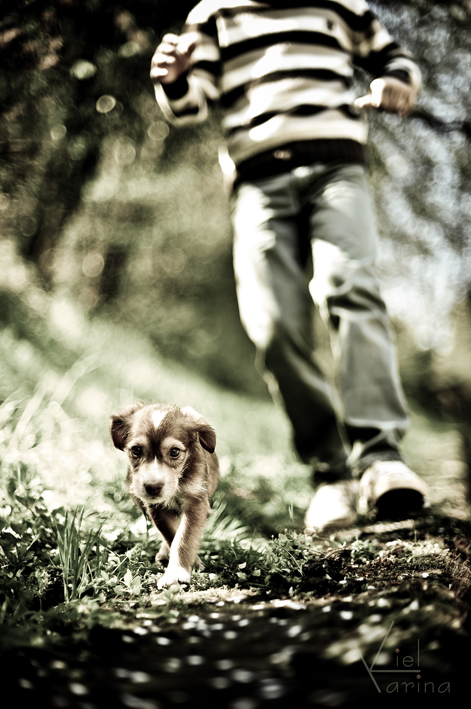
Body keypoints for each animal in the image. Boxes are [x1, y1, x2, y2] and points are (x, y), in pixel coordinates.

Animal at [109, 402, 219, 589]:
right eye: (136, 450)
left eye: (174, 452)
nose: (152, 487)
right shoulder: (155, 507)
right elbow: (170, 534)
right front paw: (189, 563)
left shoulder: (196, 501)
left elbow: (184, 537)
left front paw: (177, 572)